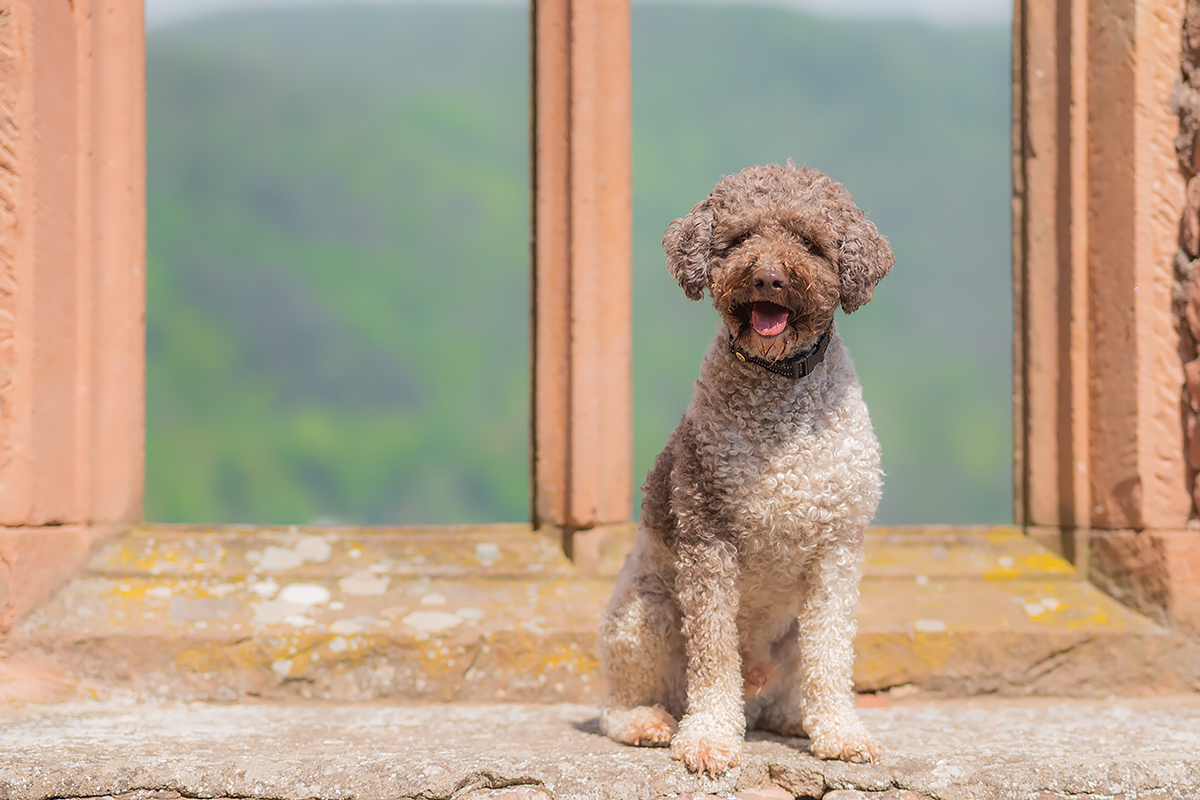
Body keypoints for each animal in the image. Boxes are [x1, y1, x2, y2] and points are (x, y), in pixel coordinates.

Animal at [597, 160, 892, 777]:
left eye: (810, 242)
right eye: (739, 238)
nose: (769, 278)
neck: (780, 392)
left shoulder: (838, 549)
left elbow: (831, 656)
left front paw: (841, 734)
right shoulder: (708, 541)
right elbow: (712, 655)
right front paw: (710, 739)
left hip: (785, 635)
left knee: (787, 686)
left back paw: (793, 719)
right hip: (644, 614)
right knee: (619, 702)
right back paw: (649, 723)